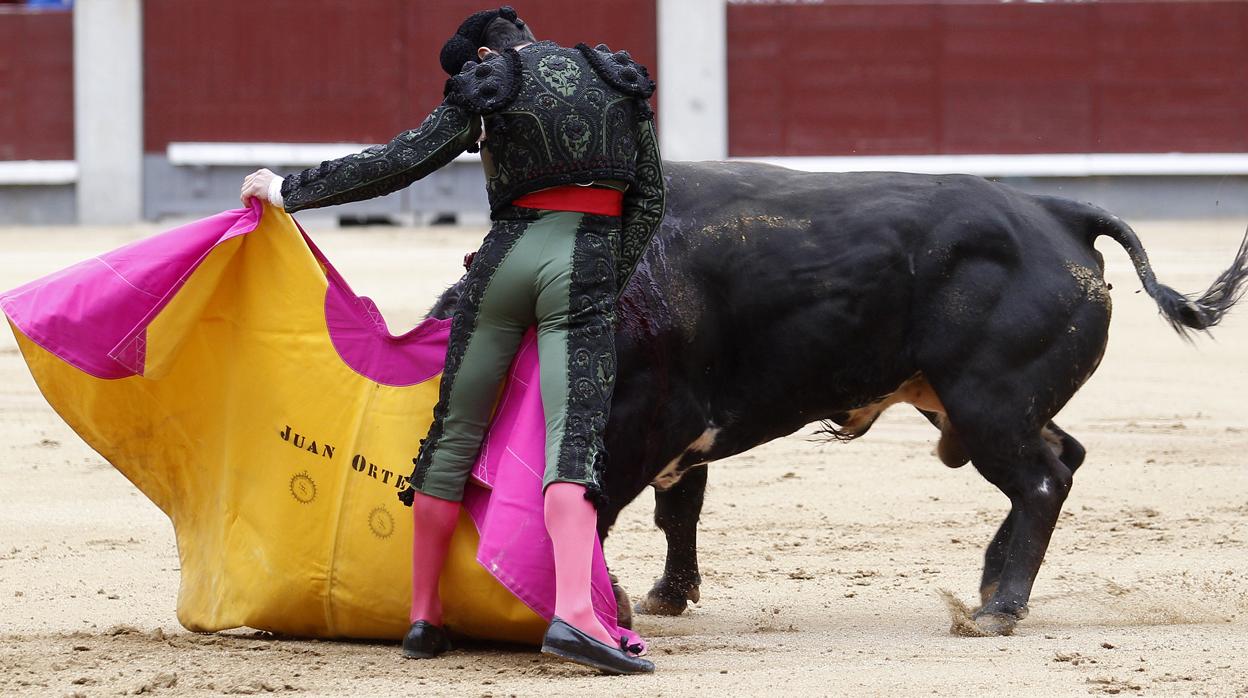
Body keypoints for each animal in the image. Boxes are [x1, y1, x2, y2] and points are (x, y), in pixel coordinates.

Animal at [431, 161, 1248, 636]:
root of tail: (1059, 214)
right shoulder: (683, 436)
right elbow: (677, 511)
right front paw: (667, 594)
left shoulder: (649, 421)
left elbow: (598, 504)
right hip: (982, 406)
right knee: (1063, 457)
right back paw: (990, 579)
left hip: (989, 404)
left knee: (1042, 480)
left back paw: (997, 608)